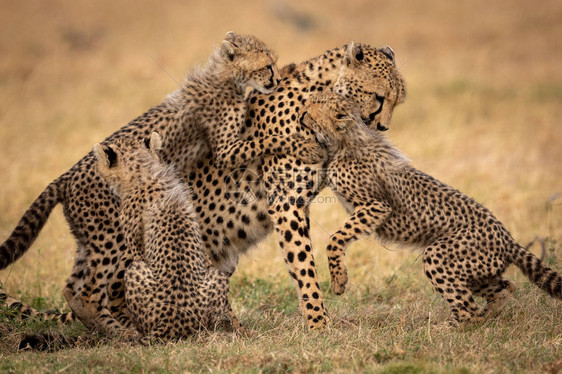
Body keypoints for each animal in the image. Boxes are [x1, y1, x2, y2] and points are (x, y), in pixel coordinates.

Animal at [300, 93, 556, 324]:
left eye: (317, 104)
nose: (304, 108)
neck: (345, 139)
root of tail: (507, 238)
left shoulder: (376, 206)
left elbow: (335, 239)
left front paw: (339, 281)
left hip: (439, 255)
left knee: (468, 309)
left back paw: (446, 329)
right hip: (478, 272)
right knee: (506, 287)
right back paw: (487, 316)